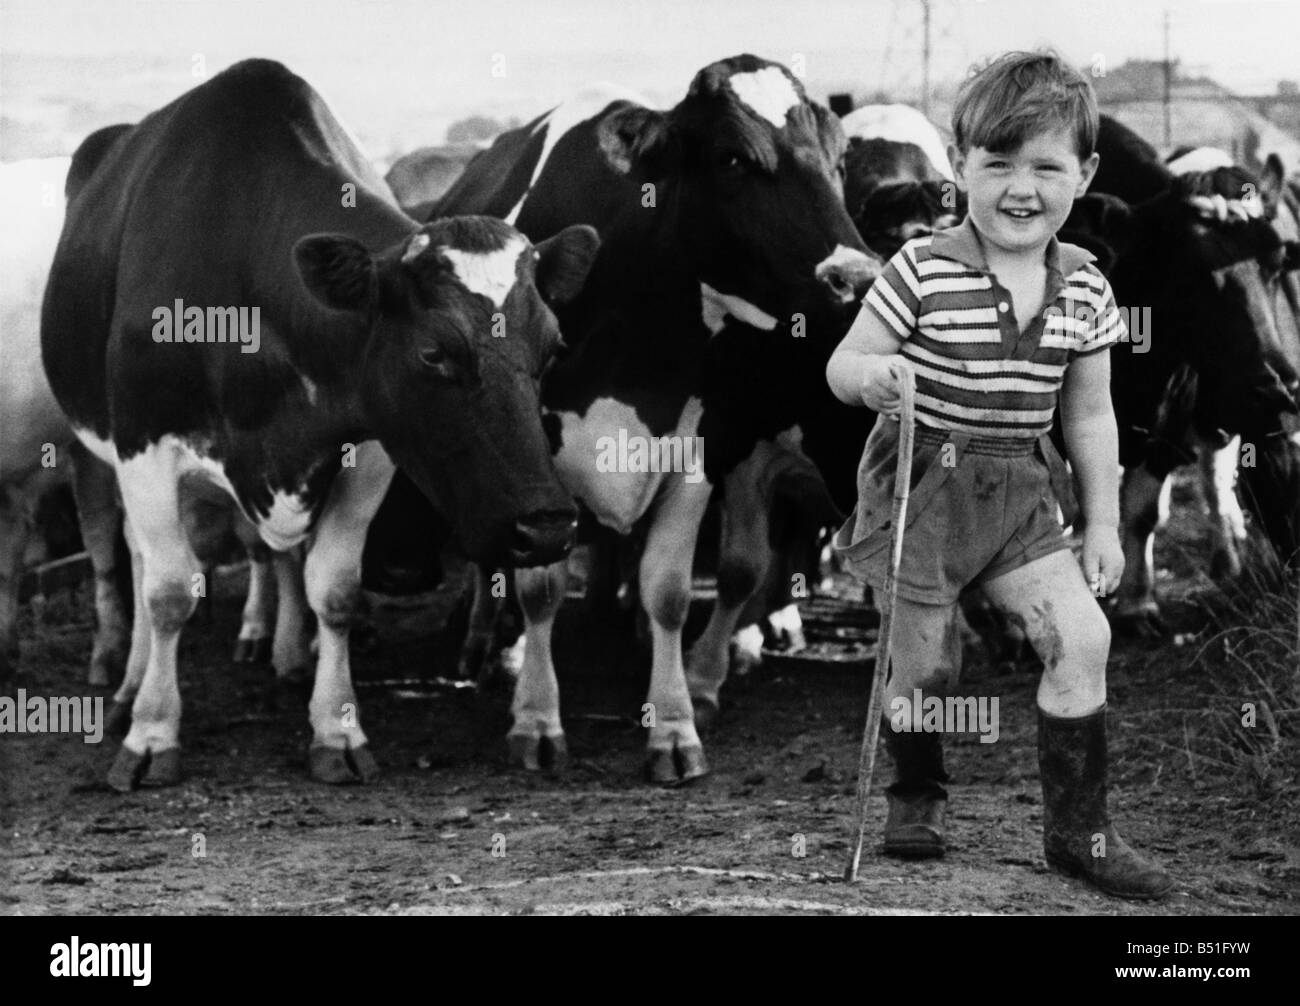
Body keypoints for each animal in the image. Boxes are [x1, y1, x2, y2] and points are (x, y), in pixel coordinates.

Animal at [40, 59, 598, 790]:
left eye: (554, 346)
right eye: (433, 353)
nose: (547, 526)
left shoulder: (369, 450)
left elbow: (333, 588)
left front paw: (336, 729)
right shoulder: (144, 447)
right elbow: (166, 592)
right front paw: (151, 734)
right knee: (136, 559)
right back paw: (132, 687)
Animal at [400, 53, 878, 779]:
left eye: (840, 155)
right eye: (732, 158)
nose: (857, 276)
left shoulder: (698, 449)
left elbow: (671, 592)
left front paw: (675, 726)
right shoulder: (535, 461)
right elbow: (540, 589)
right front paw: (536, 720)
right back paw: (490, 647)